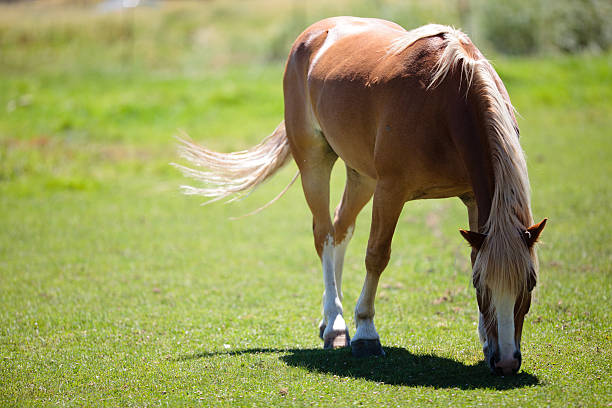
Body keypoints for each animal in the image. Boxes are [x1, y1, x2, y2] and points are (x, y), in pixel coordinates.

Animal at [175, 16, 548, 376]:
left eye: (530, 283)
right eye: (482, 286)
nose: (505, 362)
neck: (445, 101)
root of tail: (313, 34)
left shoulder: (473, 198)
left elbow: (472, 256)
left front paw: (485, 340)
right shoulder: (390, 191)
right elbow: (376, 256)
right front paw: (366, 334)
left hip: (362, 176)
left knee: (341, 230)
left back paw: (331, 319)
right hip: (315, 162)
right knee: (324, 234)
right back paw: (337, 327)